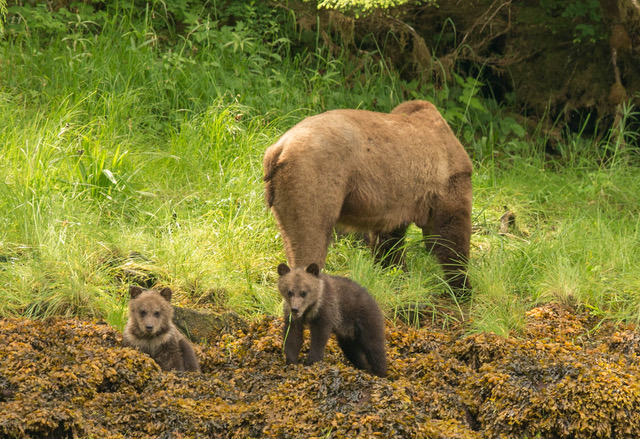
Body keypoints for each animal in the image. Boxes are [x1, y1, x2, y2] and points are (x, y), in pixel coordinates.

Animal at [263, 100, 473, 293]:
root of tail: (278, 149)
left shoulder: (396, 199)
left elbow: (389, 240)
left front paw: (395, 272)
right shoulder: (446, 181)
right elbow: (452, 231)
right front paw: (461, 285)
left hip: (284, 191)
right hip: (314, 178)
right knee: (310, 235)